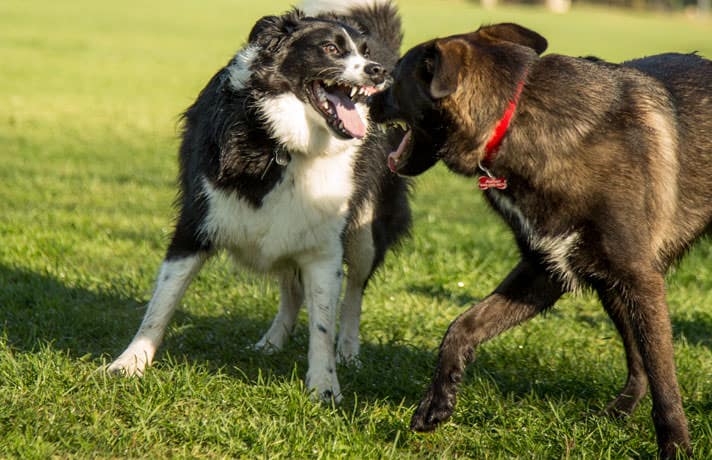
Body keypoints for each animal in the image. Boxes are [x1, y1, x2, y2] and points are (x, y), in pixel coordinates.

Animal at [108, 0, 408, 400]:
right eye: (330, 48)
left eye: (364, 52)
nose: (379, 71)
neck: (281, 143)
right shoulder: (196, 224)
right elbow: (161, 303)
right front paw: (129, 364)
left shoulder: (324, 249)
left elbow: (323, 326)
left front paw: (325, 387)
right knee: (292, 290)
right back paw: (272, 342)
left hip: (363, 233)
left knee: (354, 294)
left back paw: (348, 351)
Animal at [368, 23, 712, 458]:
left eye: (395, 77)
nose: (365, 101)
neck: (513, 118)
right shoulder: (545, 270)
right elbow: (463, 325)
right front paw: (436, 403)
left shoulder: (642, 281)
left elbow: (665, 378)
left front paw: (676, 447)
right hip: (609, 285)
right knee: (636, 362)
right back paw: (618, 411)